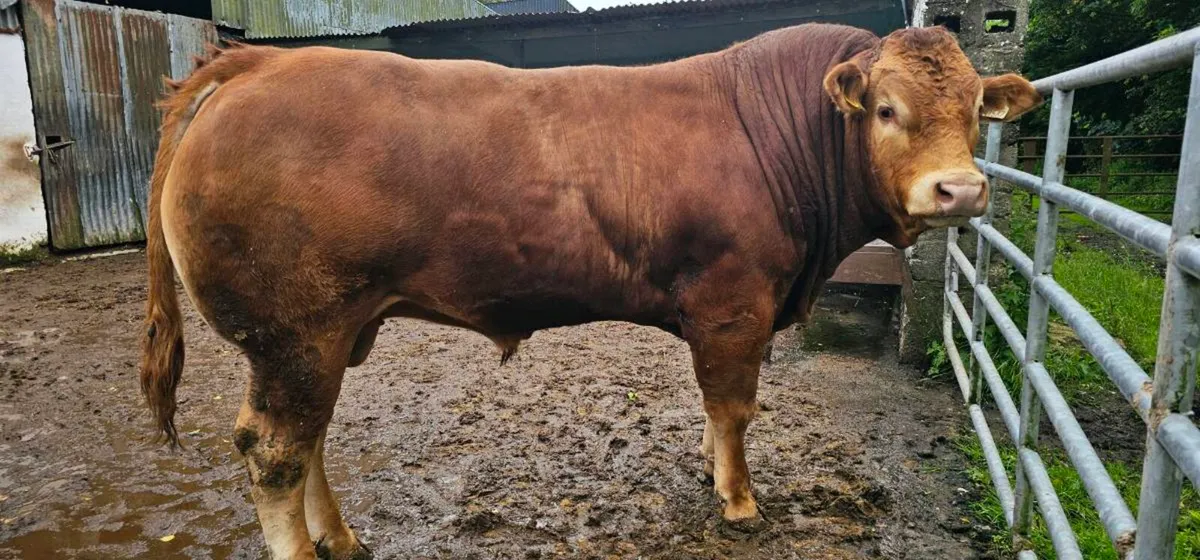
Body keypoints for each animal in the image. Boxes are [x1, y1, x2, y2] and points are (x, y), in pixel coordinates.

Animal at [139, 23, 1040, 559]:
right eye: (886, 109)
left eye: (975, 111)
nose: (960, 191)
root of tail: (263, 60)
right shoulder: (735, 303)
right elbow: (735, 406)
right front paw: (740, 500)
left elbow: (716, 408)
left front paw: (713, 473)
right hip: (293, 333)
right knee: (274, 452)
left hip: (322, 336)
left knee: (309, 442)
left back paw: (344, 538)